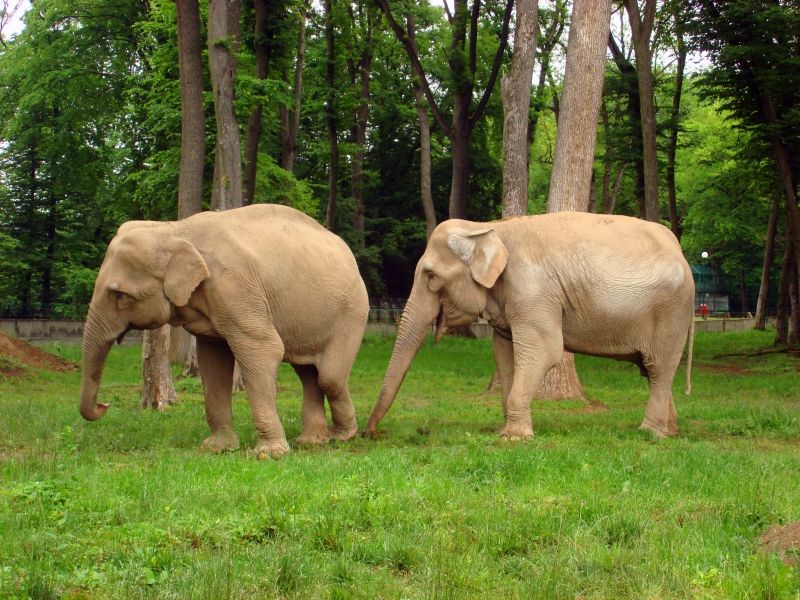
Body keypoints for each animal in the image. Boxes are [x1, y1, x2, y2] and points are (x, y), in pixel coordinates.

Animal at [81, 204, 368, 458]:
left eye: (119, 295)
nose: (104, 405)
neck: (174, 229)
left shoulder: (235, 288)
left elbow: (265, 349)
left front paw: (269, 454)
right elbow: (213, 361)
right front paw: (217, 448)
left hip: (351, 314)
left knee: (329, 377)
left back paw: (342, 436)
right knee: (309, 372)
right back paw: (312, 441)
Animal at [364, 213, 692, 438]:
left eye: (431, 276)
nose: (372, 433)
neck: (489, 226)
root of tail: (681, 253)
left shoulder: (533, 291)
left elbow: (544, 351)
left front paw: (513, 438)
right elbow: (504, 353)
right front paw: (507, 428)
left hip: (671, 313)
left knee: (659, 367)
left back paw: (649, 432)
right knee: (652, 371)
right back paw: (671, 430)